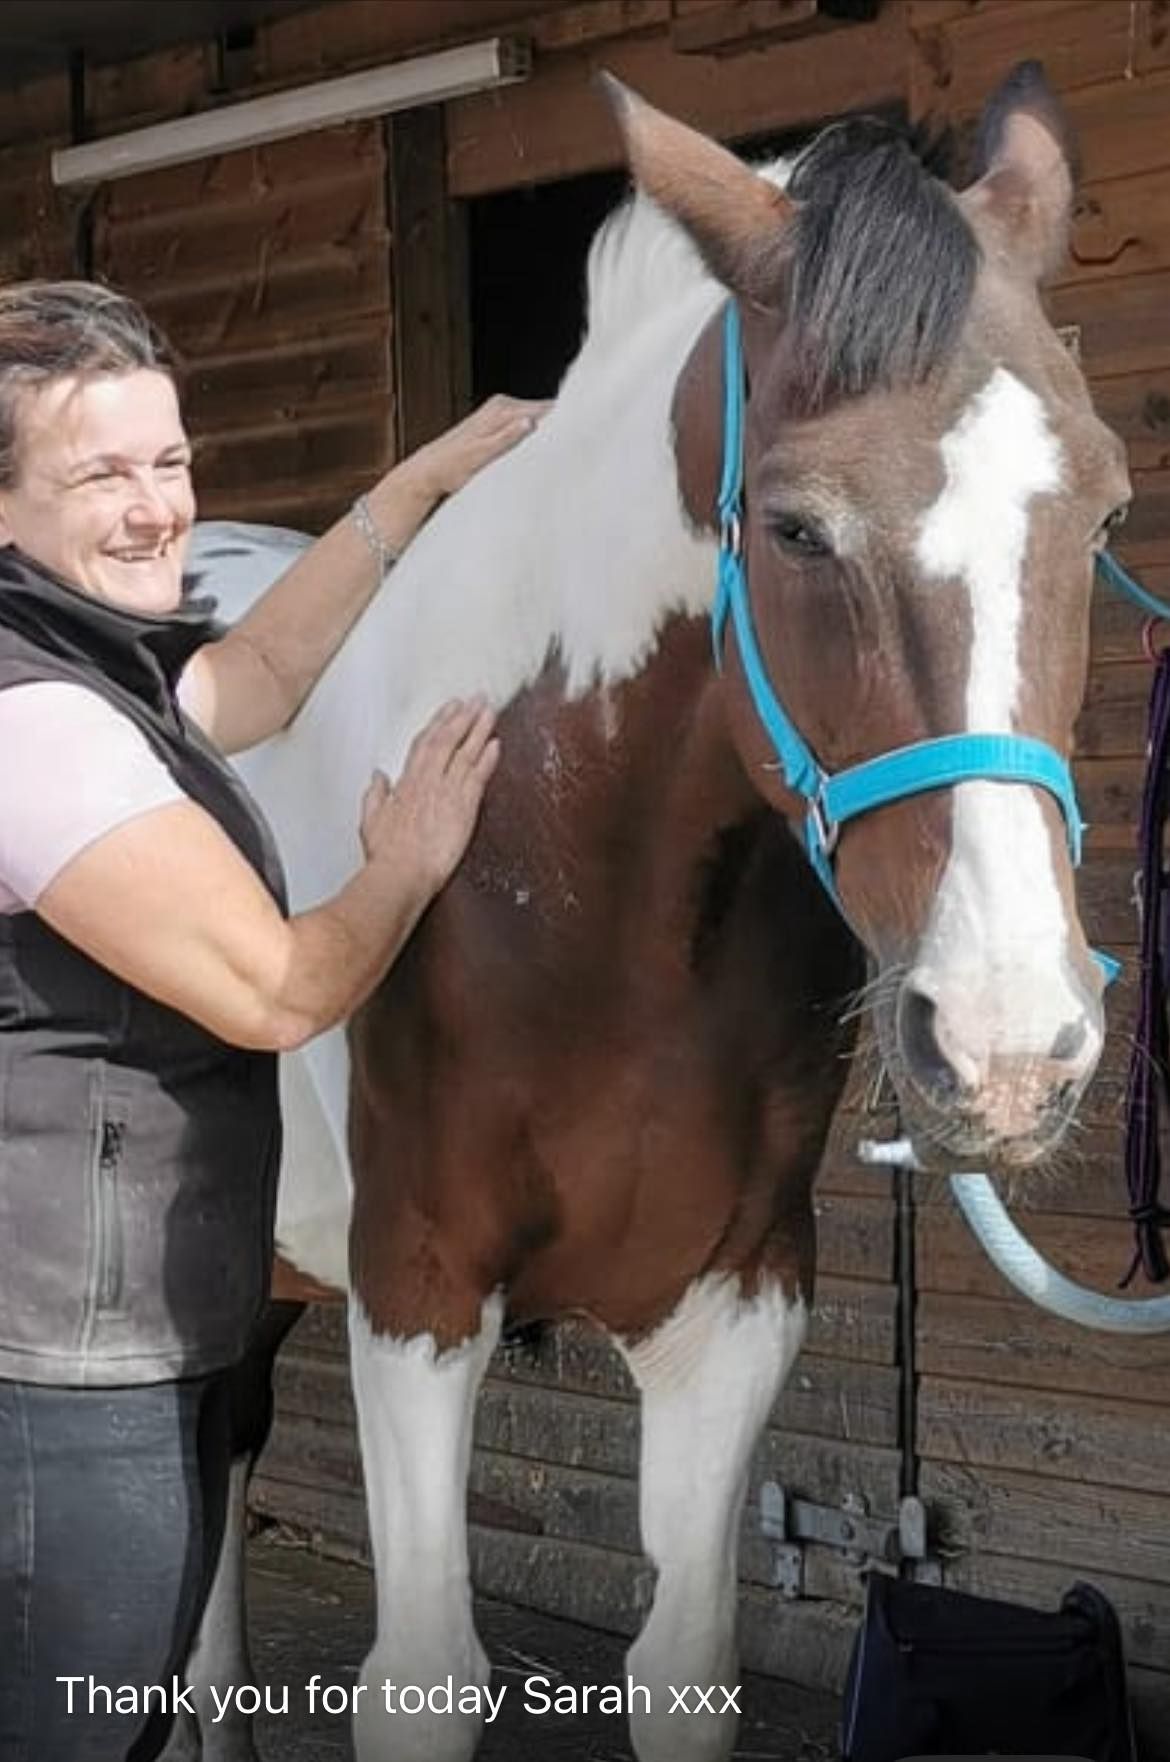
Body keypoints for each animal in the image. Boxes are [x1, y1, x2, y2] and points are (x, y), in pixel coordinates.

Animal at [167, 61, 1130, 1762]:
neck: (578, 893)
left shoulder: (732, 1306)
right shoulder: (417, 1294)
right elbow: (423, 1678)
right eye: (796, 527)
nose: (1011, 1048)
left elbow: (683, 1664)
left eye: (1098, 514)